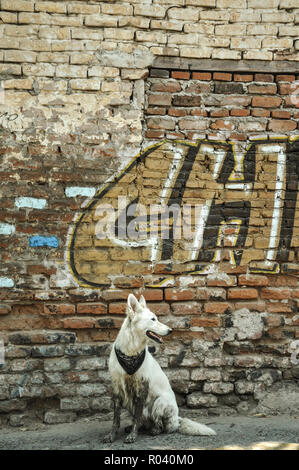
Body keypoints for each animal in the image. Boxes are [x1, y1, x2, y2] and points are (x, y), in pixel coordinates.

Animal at [103, 292, 216, 442]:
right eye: (153, 319)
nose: (170, 330)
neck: (131, 351)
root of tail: (177, 419)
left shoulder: (141, 387)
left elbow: (137, 416)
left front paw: (133, 435)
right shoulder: (117, 388)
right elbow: (116, 419)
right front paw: (112, 435)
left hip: (160, 402)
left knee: (163, 425)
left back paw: (155, 429)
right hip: (129, 402)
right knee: (144, 420)